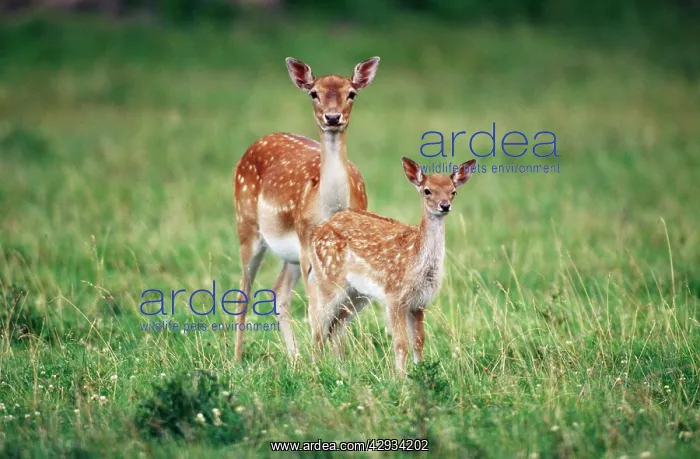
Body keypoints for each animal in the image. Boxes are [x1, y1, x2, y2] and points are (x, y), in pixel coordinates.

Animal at [232, 57, 381, 362]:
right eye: (314, 93)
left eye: (352, 93)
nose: (332, 117)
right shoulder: (306, 242)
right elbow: (316, 309)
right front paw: (319, 361)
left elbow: (338, 310)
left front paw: (336, 361)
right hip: (248, 226)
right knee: (244, 291)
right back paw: (238, 359)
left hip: (289, 254)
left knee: (279, 292)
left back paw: (295, 358)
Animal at [308, 157, 476, 376]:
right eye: (427, 190)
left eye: (453, 191)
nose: (445, 206)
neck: (415, 260)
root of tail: (316, 232)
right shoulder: (395, 297)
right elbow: (401, 343)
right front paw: (401, 378)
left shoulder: (419, 302)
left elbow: (419, 341)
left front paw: (420, 373)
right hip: (328, 281)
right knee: (318, 328)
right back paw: (316, 371)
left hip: (357, 294)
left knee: (336, 328)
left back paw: (341, 371)